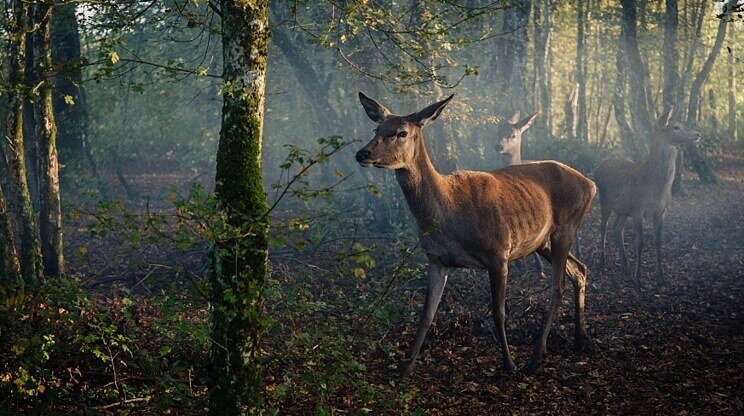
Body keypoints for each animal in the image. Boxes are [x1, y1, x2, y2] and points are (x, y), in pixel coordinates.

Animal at [356, 92, 600, 376]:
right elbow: (427, 314)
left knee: (558, 286)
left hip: (566, 226)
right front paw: (406, 367)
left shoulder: (498, 252)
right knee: (579, 269)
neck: (448, 215)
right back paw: (581, 338)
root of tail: (590, 183)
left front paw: (509, 363)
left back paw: (536, 355)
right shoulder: (437, 259)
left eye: (402, 132)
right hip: (542, 241)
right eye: (376, 129)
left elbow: (498, 311)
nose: (362, 153)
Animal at [596, 107, 700, 284]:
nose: (697, 134)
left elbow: (658, 242)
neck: (652, 188)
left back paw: (625, 267)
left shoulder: (661, 211)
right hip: (604, 200)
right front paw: (638, 276)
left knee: (617, 229)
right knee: (603, 227)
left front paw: (661, 276)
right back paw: (602, 262)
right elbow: (640, 242)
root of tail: (599, 166)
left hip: (623, 210)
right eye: (676, 127)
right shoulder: (638, 210)